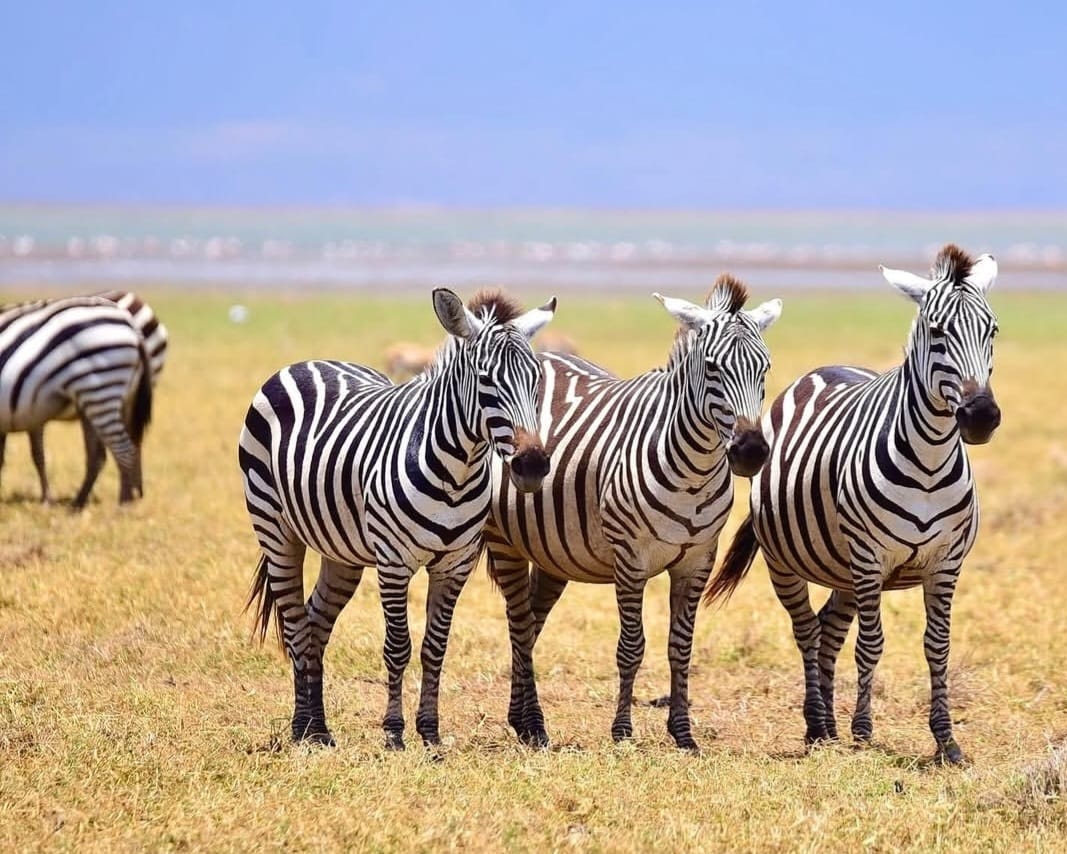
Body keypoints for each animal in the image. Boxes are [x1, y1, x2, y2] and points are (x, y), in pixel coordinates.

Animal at [0, 290, 167, 505]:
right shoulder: (28, 411)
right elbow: (35, 455)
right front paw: (47, 498)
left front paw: (46, 499)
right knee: (110, 451)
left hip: (105, 391)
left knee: (125, 448)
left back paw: (124, 501)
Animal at [239, 288, 557, 749]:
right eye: (486, 380)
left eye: (535, 382)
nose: (532, 466)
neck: (457, 473)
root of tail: (307, 363)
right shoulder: (393, 562)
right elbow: (398, 646)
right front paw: (393, 733)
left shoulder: (454, 565)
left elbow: (434, 647)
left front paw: (430, 733)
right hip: (275, 528)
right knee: (296, 625)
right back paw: (303, 729)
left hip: (342, 551)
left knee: (315, 623)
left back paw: (319, 727)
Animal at [483, 275, 783, 750]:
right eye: (713, 368)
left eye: (765, 369)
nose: (751, 452)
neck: (693, 470)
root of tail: (542, 354)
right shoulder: (630, 558)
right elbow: (631, 645)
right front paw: (622, 731)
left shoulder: (699, 559)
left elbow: (681, 646)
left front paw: (683, 733)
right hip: (504, 541)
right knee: (517, 623)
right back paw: (533, 724)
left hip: (554, 553)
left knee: (530, 624)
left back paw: (525, 721)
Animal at [706, 244, 1000, 765]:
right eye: (937, 332)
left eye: (993, 330)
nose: (981, 417)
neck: (929, 462)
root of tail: (823, 371)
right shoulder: (870, 558)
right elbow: (872, 644)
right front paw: (863, 731)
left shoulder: (946, 562)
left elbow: (937, 646)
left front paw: (946, 740)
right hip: (791, 563)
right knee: (807, 630)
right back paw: (818, 725)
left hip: (845, 572)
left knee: (829, 630)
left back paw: (827, 725)